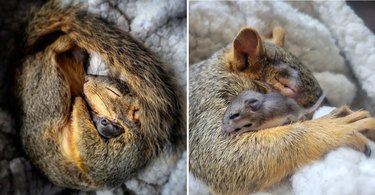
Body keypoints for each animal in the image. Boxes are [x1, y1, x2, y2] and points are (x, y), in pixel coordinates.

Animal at [15, 0, 185, 190]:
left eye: (113, 92)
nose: (87, 78)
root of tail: (23, 62)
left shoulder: (124, 155)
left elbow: (92, 152)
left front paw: (80, 104)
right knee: (52, 49)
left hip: (49, 95)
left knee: (51, 52)